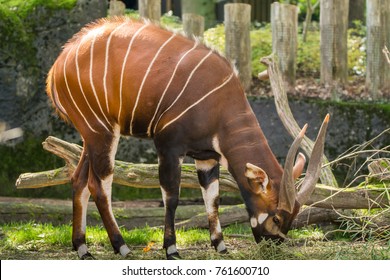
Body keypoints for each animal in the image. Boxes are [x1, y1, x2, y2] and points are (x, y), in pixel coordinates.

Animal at [47, 17, 330, 258]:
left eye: (292, 218)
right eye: (277, 217)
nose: (273, 245)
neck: (220, 104)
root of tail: (58, 65)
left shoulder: (206, 157)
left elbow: (212, 198)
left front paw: (220, 245)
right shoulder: (169, 146)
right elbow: (171, 196)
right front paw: (171, 249)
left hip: (91, 136)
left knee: (79, 179)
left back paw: (82, 248)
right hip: (102, 131)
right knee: (99, 185)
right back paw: (122, 246)